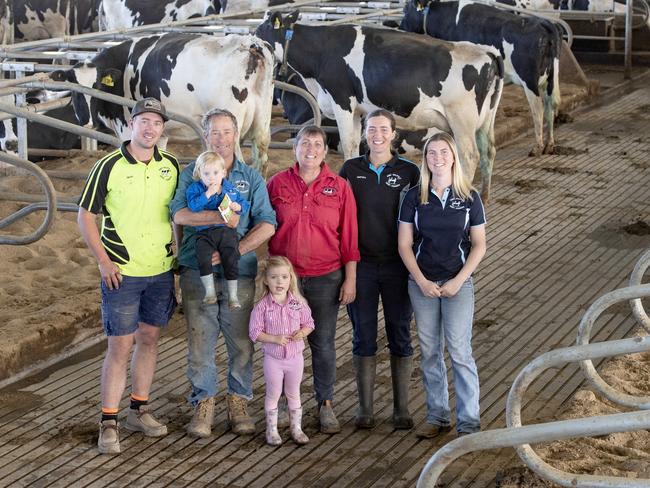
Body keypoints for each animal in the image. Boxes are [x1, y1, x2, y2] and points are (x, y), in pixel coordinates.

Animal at [45, 31, 274, 170]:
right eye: (74, 90)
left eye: (98, 87)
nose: (87, 122)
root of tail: (251, 43)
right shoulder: (160, 133)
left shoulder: (128, 129)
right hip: (262, 125)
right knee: (261, 161)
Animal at [256, 12, 504, 201]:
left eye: (259, 32)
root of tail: (487, 52)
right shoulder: (357, 109)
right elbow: (355, 146)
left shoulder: (342, 100)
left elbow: (348, 144)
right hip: (485, 118)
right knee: (488, 149)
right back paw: (485, 196)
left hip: (461, 119)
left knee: (470, 155)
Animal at [398, 0, 560, 155]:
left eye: (405, 10)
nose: (400, 26)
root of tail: (543, 23)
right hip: (550, 78)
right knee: (550, 105)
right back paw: (550, 144)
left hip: (529, 79)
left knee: (538, 109)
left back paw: (538, 147)